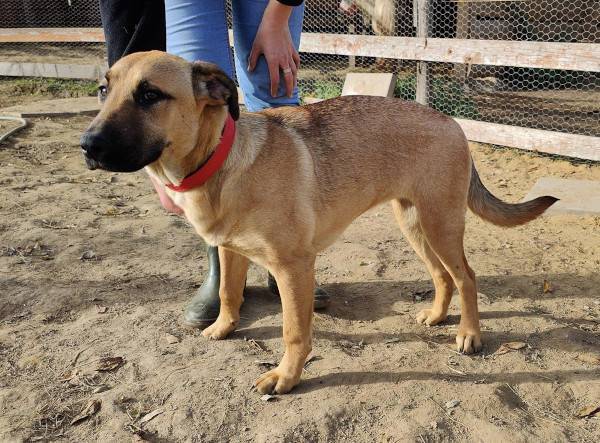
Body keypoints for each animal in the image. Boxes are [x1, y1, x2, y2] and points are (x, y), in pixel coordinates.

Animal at [81, 51, 557, 394]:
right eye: (104, 89)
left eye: (150, 95)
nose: (87, 145)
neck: (222, 160)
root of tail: (453, 122)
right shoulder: (231, 252)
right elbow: (230, 295)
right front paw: (222, 327)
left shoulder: (293, 268)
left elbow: (294, 331)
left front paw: (286, 378)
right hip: (413, 222)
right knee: (442, 276)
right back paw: (438, 316)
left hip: (440, 224)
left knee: (467, 277)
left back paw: (469, 334)